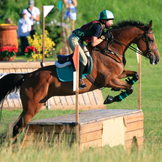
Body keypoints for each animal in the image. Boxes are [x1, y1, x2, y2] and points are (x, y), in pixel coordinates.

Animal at [0, 19, 159, 139]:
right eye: (151, 39)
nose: (156, 59)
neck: (110, 50)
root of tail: (27, 75)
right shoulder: (108, 80)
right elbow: (129, 88)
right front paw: (111, 98)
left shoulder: (118, 75)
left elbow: (135, 76)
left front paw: (120, 89)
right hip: (32, 107)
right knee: (18, 127)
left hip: (32, 105)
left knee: (17, 126)